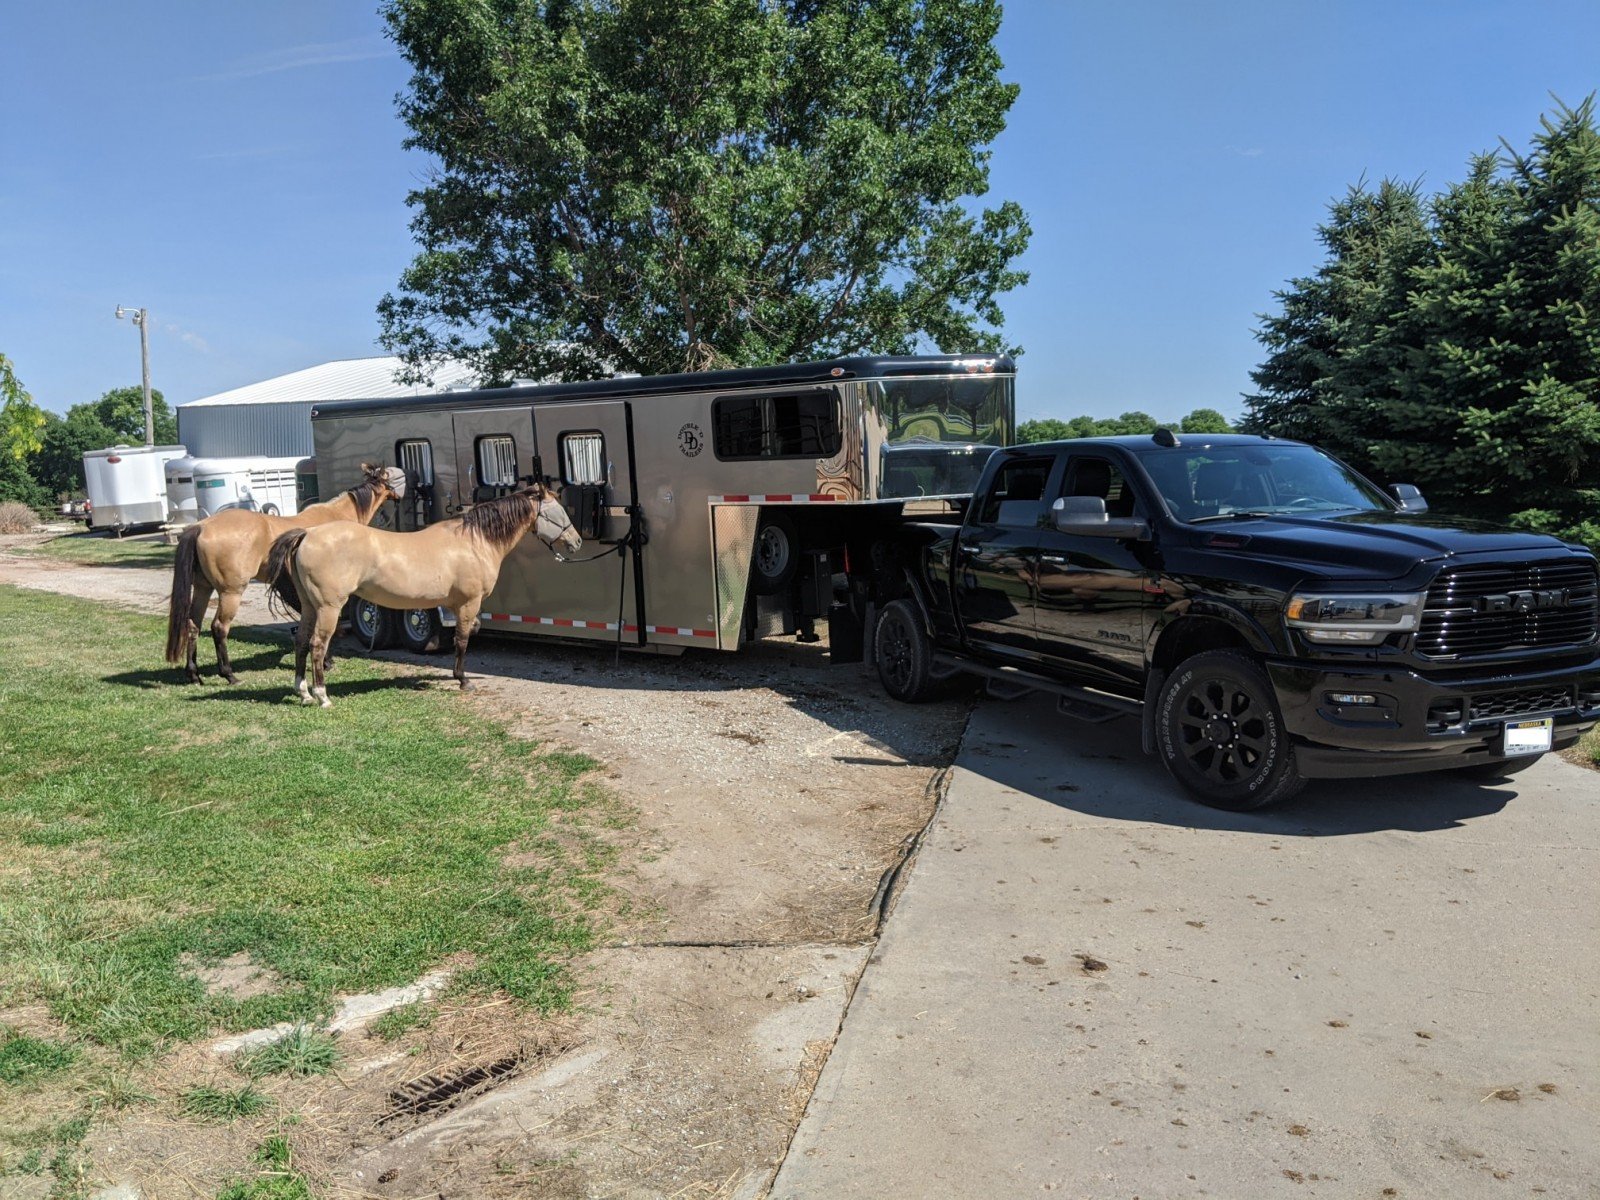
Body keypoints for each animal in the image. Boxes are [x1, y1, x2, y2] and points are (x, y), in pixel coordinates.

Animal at [164, 464, 406, 684]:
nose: (402, 494)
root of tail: (202, 527)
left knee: (193, 624)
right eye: (392, 477)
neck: (337, 516)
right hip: (230, 592)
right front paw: (326, 661)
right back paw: (229, 674)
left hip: (203, 588)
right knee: (219, 628)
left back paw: (194, 674)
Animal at [265, 483, 585, 710]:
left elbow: (467, 632)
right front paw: (463, 680)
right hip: (329, 608)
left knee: (301, 642)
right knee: (317, 646)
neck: (474, 542)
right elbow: (463, 639)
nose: (577, 541)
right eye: (557, 513)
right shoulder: (468, 603)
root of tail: (307, 535)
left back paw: (303, 692)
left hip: (309, 606)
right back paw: (322, 696)